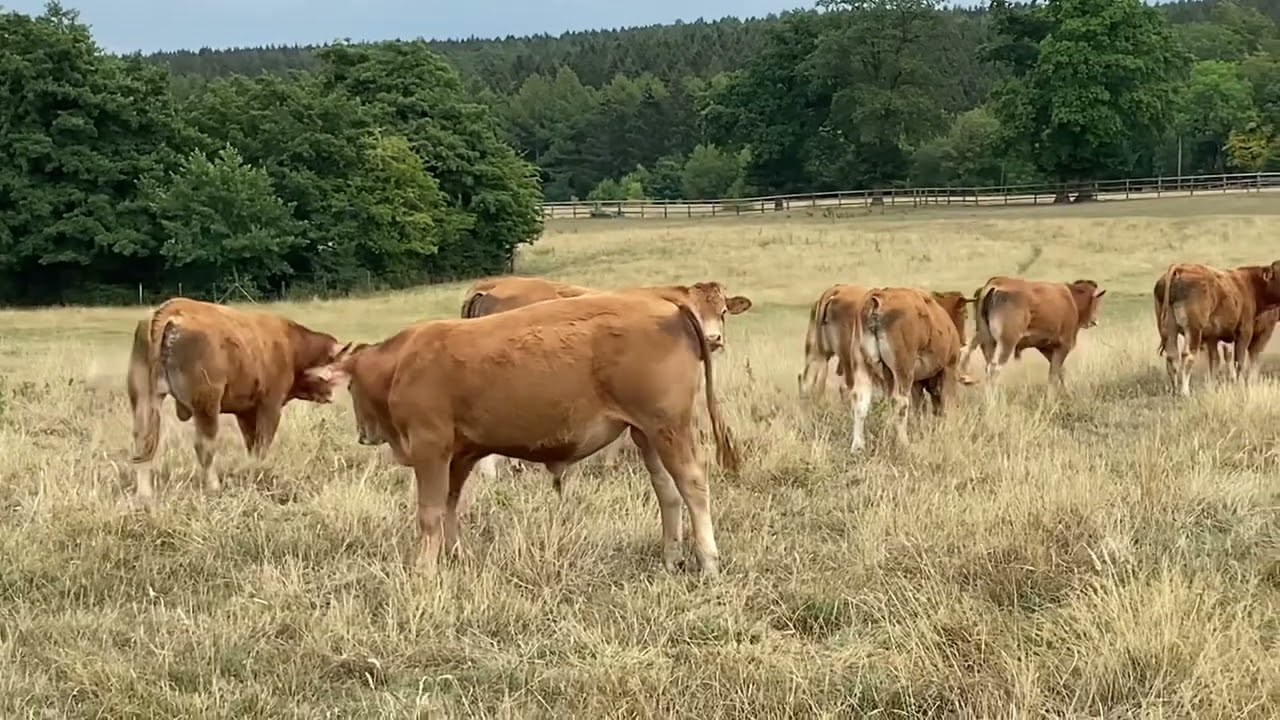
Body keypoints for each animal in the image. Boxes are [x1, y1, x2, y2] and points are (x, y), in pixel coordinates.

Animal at [126, 297, 354, 505]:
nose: (331, 395)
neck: (292, 346)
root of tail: (169, 311)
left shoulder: (245, 412)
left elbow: (252, 445)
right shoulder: (270, 406)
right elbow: (261, 445)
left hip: (144, 399)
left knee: (144, 443)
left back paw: (144, 495)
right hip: (207, 405)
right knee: (204, 446)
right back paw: (214, 487)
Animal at [304, 291, 741, 577]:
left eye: (350, 385)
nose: (364, 433)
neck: (405, 363)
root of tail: (669, 305)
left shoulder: (431, 449)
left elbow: (429, 513)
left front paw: (424, 570)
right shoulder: (458, 456)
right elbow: (450, 506)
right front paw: (455, 555)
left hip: (669, 429)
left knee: (692, 485)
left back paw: (708, 560)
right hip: (646, 433)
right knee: (668, 491)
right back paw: (671, 557)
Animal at [957, 276, 1106, 391]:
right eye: (1096, 301)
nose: (1095, 321)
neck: (1071, 299)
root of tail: (994, 285)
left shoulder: (1046, 348)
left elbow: (1060, 372)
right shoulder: (1063, 347)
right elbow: (1054, 375)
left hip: (987, 341)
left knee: (984, 364)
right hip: (1007, 343)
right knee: (994, 369)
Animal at [1154, 261, 1280, 395]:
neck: (1251, 285)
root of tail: (1180, 269)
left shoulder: (1212, 338)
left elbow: (1215, 361)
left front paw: (1212, 386)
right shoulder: (1247, 333)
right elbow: (1243, 360)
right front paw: (1243, 384)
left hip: (1169, 330)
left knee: (1172, 357)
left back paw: (1175, 390)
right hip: (1193, 330)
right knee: (1187, 356)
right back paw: (1185, 392)